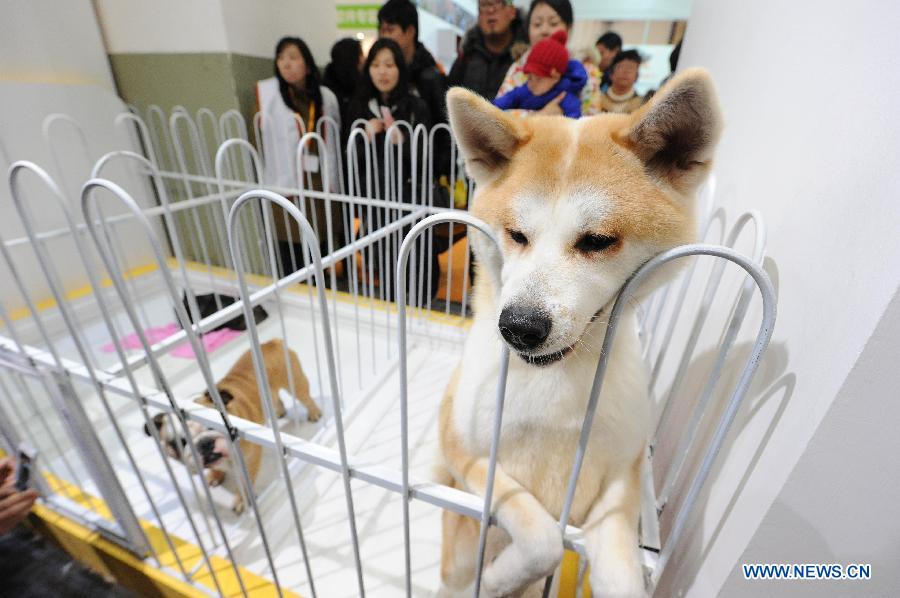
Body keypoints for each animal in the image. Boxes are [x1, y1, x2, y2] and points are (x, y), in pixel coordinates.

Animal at [144, 342, 320, 516]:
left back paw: (314, 414)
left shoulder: (249, 461)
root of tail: (272, 343)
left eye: (215, 426)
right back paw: (280, 412)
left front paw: (242, 500)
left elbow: (245, 484)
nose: (205, 443)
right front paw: (215, 475)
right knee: (276, 399)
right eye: (179, 443)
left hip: (296, 383)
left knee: (307, 399)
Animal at [436, 68, 724, 596]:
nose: (519, 327)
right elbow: (542, 539)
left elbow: (618, 576)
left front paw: (502, 578)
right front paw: (496, 579)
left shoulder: (621, 478)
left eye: (597, 241)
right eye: (516, 235)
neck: (557, 382)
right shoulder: (464, 450)